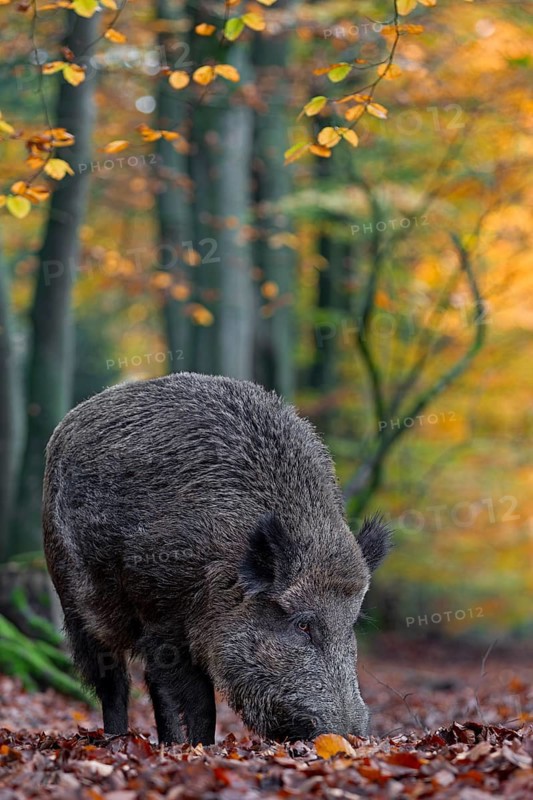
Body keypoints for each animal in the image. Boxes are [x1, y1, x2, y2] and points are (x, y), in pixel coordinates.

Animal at [43, 372, 390, 745]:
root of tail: (70, 419)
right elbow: (198, 701)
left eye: (352, 624)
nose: (351, 735)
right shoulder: (164, 616)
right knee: (113, 679)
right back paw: (118, 739)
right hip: (73, 596)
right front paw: (198, 747)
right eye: (302, 624)